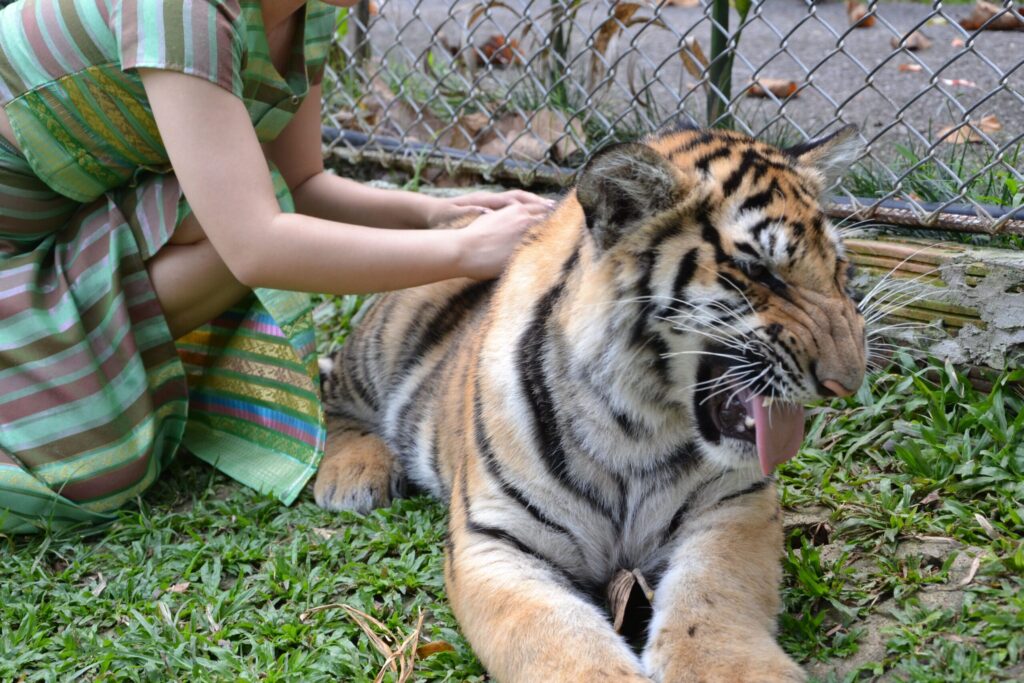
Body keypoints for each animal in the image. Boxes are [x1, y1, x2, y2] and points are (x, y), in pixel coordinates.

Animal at [314, 124, 867, 683]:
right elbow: (557, 639)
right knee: (332, 392)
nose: (849, 380)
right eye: (758, 271)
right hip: (384, 333)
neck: (637, 425)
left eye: (840, 271)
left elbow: (715, 599)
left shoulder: (735, 504)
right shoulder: (493, 539)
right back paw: (352, 476)